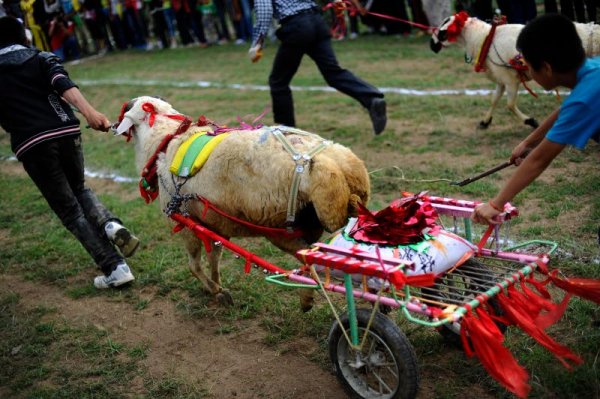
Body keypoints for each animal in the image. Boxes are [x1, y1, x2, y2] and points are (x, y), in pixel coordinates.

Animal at [115, 96, 370, 310]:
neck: (166, 140)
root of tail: (332, 164)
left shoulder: (187, 224)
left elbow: (194, 265)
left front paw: (214, 290)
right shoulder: (216, 225)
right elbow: (214, 259)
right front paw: (218, 288)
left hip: (278, 227)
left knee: (307, 264)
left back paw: (308, 299)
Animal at [428, 12, 600, 129]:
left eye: (443, 31)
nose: (432, 45)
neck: (484, 38)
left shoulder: (511, 80)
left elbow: (509, 105)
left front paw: (530, 121)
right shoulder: (501, 79)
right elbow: (494, 99)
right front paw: (485, 121)